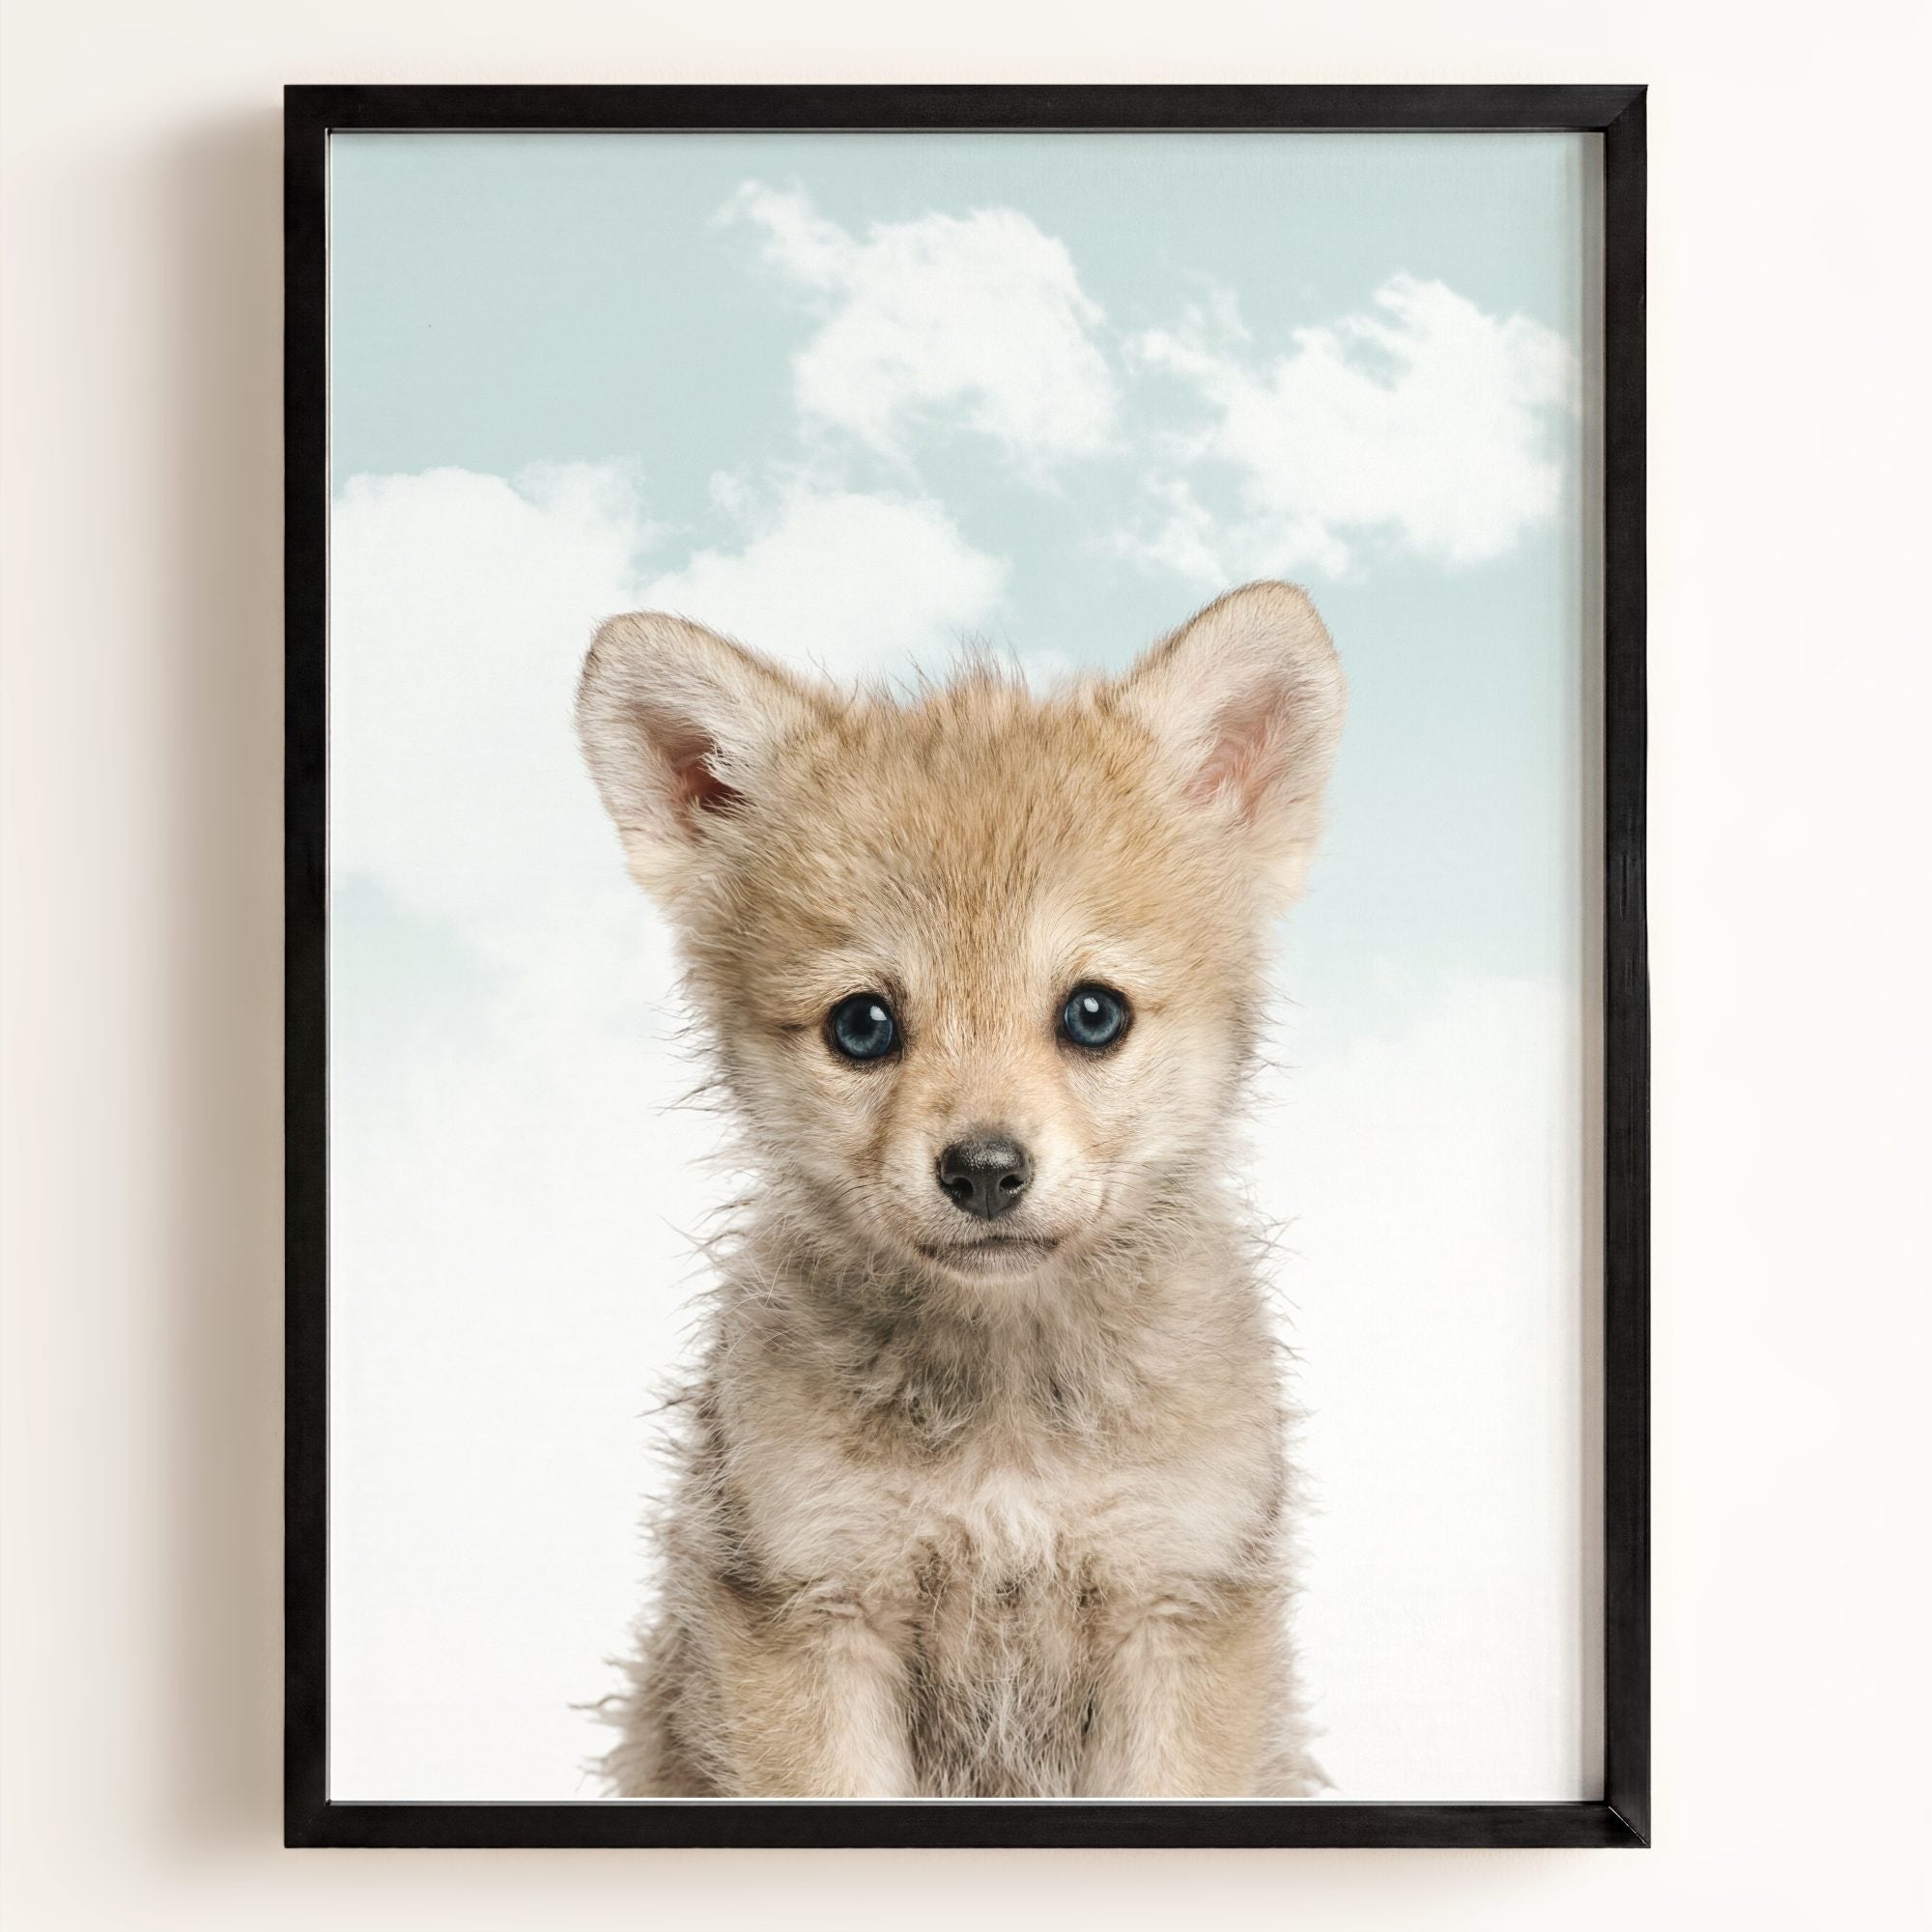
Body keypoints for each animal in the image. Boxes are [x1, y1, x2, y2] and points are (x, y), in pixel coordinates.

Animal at [576, 581, 1345, 1797]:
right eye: (861, 1024)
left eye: (1092, 1012)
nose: (984, 1168)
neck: (1006, 1417)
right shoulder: (811, 1610)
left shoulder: (1175, 1606)